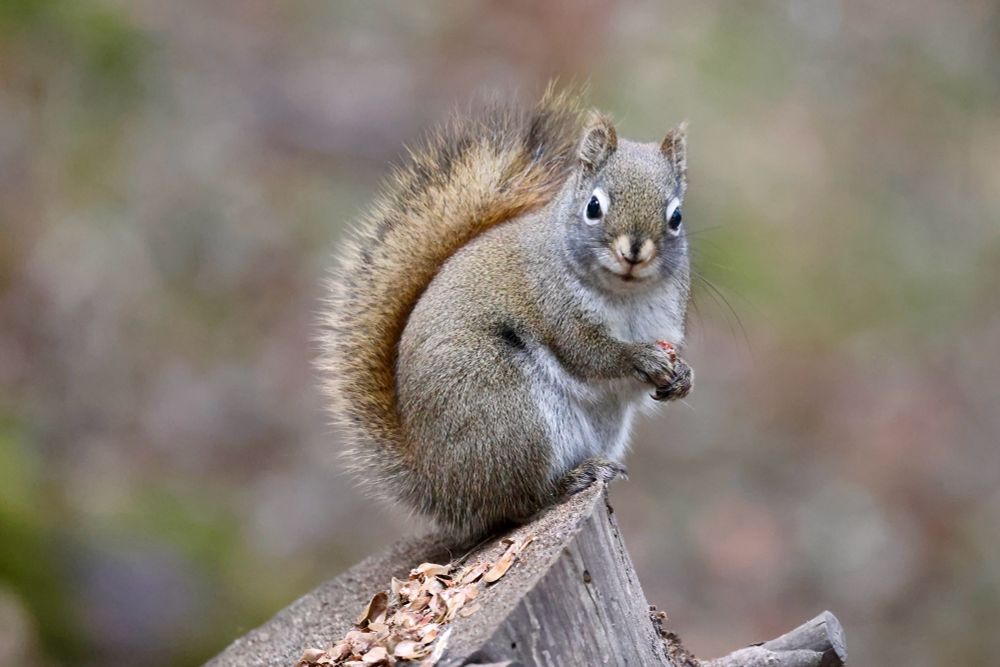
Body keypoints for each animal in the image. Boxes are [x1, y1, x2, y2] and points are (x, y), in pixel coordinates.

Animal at [320, 86, 693, 544]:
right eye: (593, 207)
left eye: (676, 216)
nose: (634, 252)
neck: (625, 296)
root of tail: (439, 483)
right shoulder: (555, 307)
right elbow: (591, 354)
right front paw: (639, 357)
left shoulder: (665, 320)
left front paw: (682, 378)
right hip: (508, 413)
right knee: (520, 502)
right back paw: (573, 479)